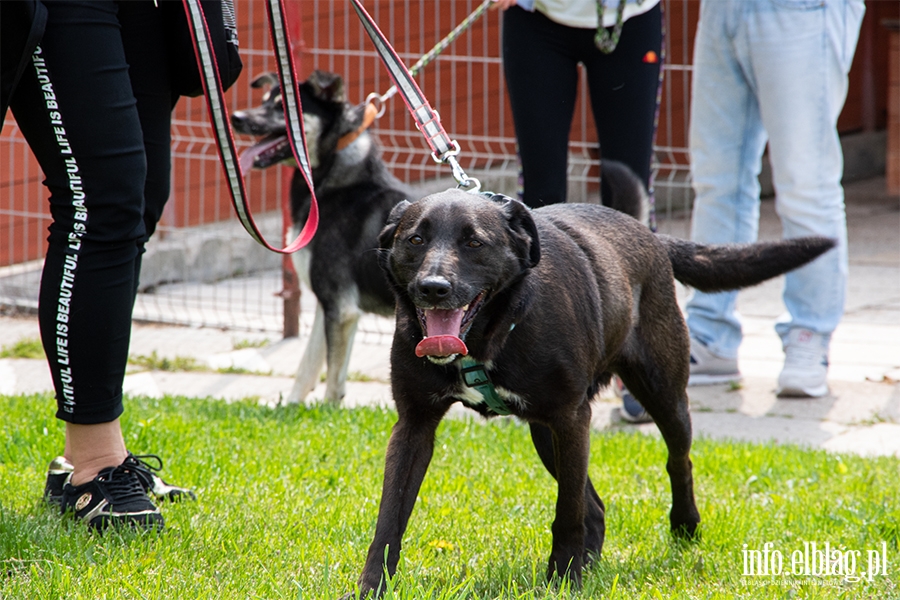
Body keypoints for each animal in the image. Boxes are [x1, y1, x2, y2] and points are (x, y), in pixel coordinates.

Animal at [232, 70, 652, 406]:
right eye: (265, 100)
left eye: (281, 108)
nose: (236, 117)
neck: (336, 175)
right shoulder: (329, 304)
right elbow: (308, 364)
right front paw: (292, 408)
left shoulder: (339, 305)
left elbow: (332, 377)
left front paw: (325, 415)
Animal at [346, 190, 836, 592]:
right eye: (414, 240)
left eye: (474, 243)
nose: (433, 288)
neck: (488, 336)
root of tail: (651, 234)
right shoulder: (414, 425)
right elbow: (389, 519)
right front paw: (371, 588)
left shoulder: (570, 418)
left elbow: (567, 513)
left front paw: (563, 580)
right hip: (548, 434)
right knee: (595, 506)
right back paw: (591, 566)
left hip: (660, 395)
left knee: (677, 460)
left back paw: (683, 527)